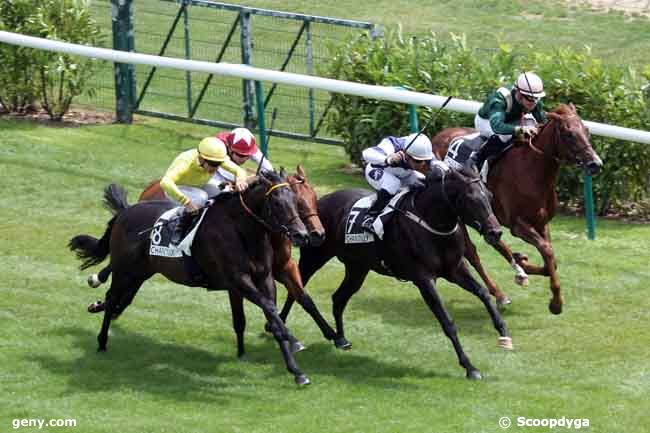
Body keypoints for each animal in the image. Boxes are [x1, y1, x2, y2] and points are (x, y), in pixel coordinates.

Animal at [68, 172, 314, 384]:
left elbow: (257, 316)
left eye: (295, 200)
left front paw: (295, 370)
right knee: (112, 298)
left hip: (142, 271)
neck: (240, 231)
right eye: (277, 203)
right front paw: (290, 340)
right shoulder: (239, 280)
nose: (302, 235)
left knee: (121, 300)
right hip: (124, 270)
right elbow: (270, 311)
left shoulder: (262, 280)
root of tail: (125, 212)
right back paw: (102, 340)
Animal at [280, 165, 508, 378]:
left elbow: (483, 293)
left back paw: (341, 339)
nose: (496, 232)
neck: (430, 222)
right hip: (313, 258)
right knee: (296, 291)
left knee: (338, 298)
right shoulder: (424, 279)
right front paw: (469, 366)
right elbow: (447, 321)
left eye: (489, 196)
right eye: (471, 199)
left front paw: (503, 332)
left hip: (357, 268)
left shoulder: (455, 269)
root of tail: (318, 203)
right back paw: (285, 331)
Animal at [430, 104, 604, 314]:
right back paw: (499, 294)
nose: (595, 164)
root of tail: (437, 136)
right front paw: (556, 303)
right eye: (569, 134)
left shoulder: (541, 223)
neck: (531, 170)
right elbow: (547, 251)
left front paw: (522, 261)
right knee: (472, 252)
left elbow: (551, 260)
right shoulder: (518, 224)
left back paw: (516, 269)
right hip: (460, 213)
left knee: (494, 241)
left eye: (587, 130)